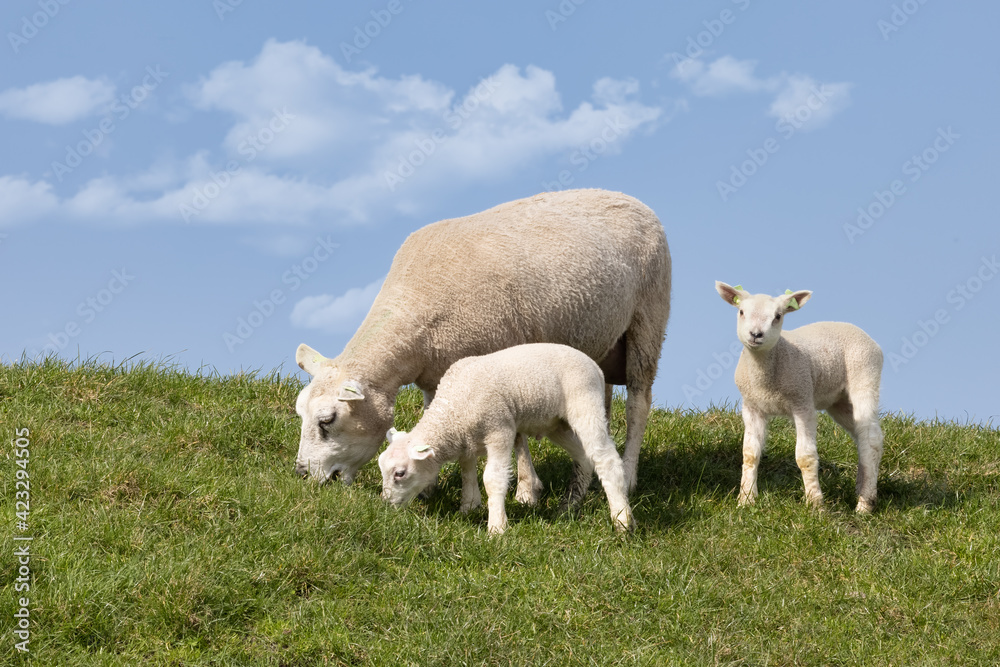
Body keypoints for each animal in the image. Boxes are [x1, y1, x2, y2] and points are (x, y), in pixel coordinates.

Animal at [295, 188, 671, 499]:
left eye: (327, 420)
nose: (301, 474)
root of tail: (630, 198)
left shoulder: (502, 360)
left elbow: (516, 434)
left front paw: (526, 490)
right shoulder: (438, 376)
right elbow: (438, 421)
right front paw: (431, 486)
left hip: (648, 316)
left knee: (638, 402)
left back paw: (629, 474)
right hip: (600, 340)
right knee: (601, 406)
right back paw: (581, 484)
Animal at [377, 343, 635, 535]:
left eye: (400, 473)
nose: (385, 505)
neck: (455, 407)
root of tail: (596, 367)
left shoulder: (499, 429)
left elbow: (493, 478)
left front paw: (497, 527)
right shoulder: (466, 439)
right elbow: (467, 471)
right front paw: (468, 507)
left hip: (585, 402)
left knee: (605, 459)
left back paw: (622, 521)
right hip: (556, 424)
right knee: (584, 457)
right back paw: (568, 507)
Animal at [714, 282, 884, 513]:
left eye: (778, 316)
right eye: (741, 312)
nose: (756, 334)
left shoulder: (802, 402)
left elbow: (805, 456)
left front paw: (815, 504)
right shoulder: (751, 406)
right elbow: (750, 453)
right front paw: (746, 500)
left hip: (865, 374)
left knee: (871, 438)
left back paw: (865, 504)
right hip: (838, 401)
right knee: (863, 436)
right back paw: (862, 487)